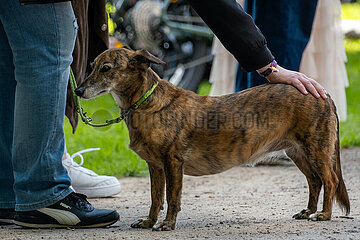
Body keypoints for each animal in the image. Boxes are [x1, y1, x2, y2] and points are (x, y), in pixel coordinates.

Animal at [75, 46, 348, 231]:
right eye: (92, 65)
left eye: (106, 69)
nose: (77, 90)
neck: (147, 102)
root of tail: (324, 95)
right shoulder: (155, 166)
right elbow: (156, 198)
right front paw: (149, 221)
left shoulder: (172, 163)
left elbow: (172, 198)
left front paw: (167, 224)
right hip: (297, 152)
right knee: (314, 181)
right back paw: (309, 211)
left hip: (316, 149)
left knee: (330, 180)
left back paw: (323, 214)